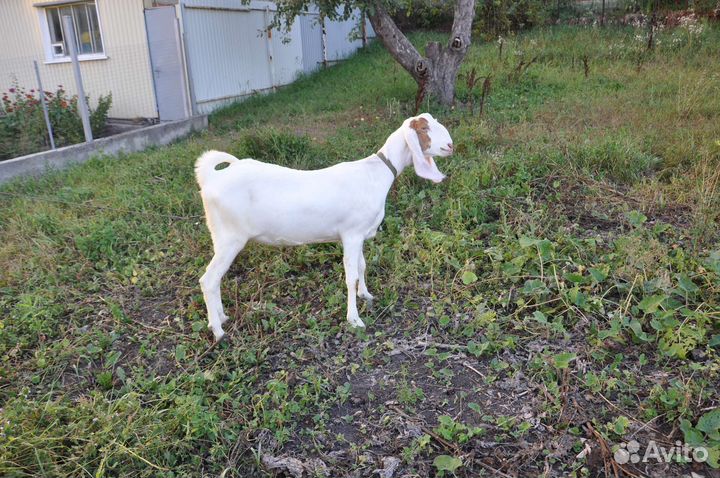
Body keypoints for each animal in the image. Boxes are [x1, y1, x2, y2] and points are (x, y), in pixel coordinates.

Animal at [195, 113, 454, 341]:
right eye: (424, 128)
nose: (450, 146)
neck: (375, 173)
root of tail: (210, 179)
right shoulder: (351, 234)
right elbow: (350, 275)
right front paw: (354, 319)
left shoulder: (358, 235)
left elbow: (362, 265)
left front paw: (366, 295)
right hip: (230, 238)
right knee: (208, 280)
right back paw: (219, 332)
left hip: (220, 238)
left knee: (215, 280)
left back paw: (221, 318)